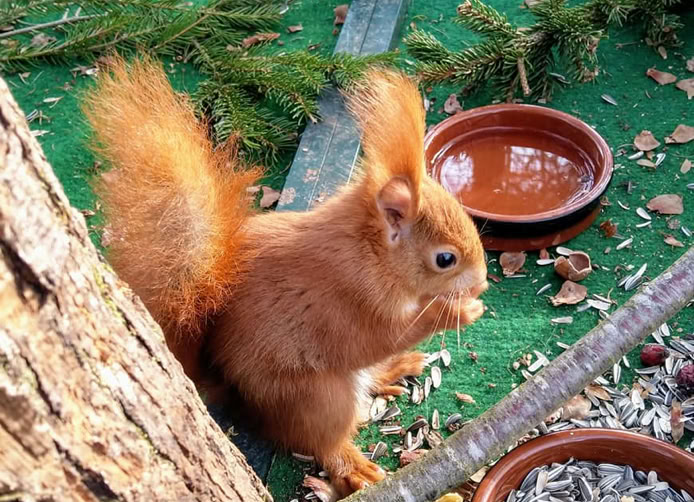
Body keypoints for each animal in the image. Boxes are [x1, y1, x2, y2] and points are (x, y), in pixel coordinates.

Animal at [82, 55, 488, 498]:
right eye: (445, 259)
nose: (483, 281)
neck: (369, 252)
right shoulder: (349, 301)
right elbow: (381, 336)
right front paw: (458, 312)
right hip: (318, 398)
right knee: (323, 440)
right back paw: (353, 467)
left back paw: (395, 368)